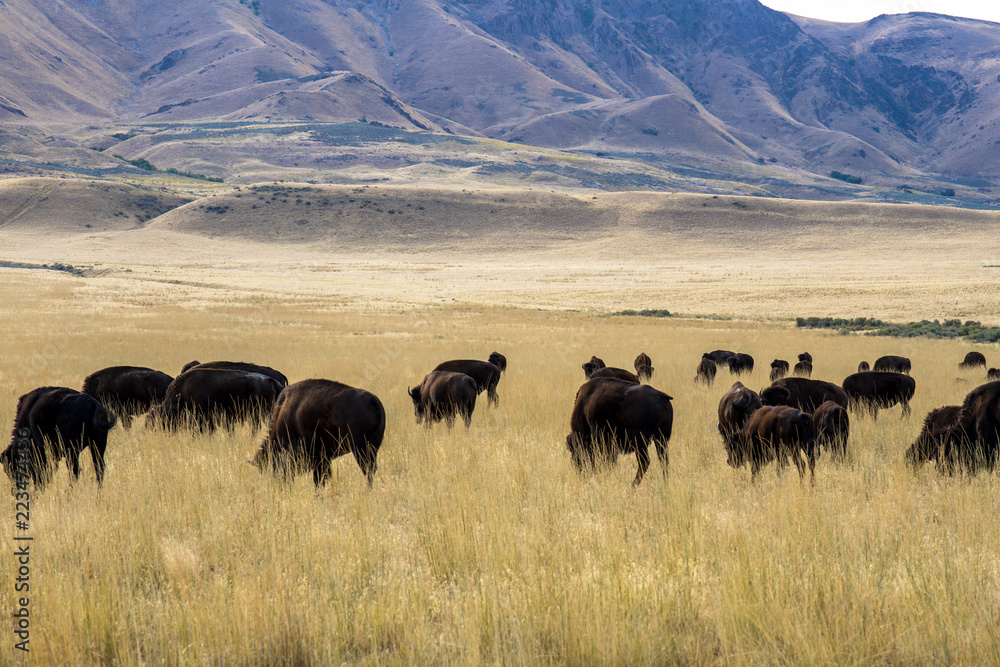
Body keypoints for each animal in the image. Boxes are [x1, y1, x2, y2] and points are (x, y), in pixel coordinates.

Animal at [251, 379, 385, 487]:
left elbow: (319, 479)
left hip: (360, 450)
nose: (279, 483)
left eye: (272, 465)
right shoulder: (323, 458)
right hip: (371, 449)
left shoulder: (317, 458)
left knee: (368, 470)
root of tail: (372, 399)